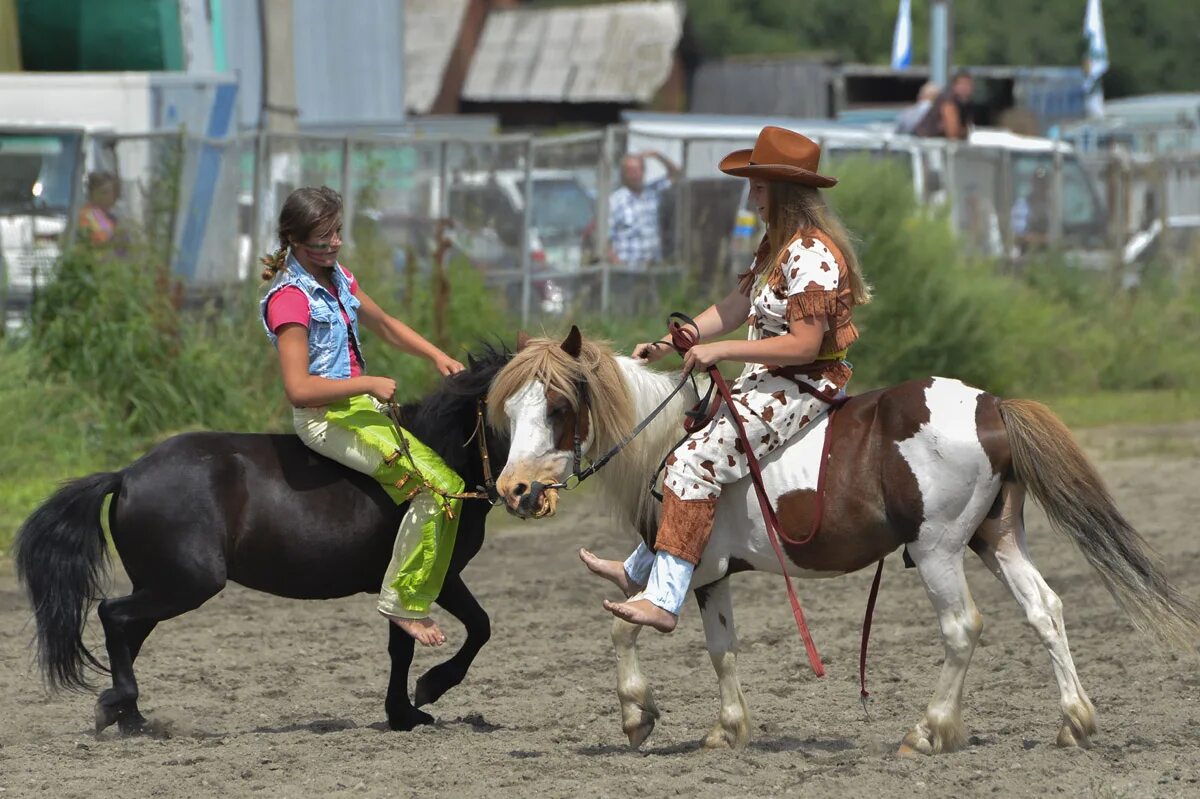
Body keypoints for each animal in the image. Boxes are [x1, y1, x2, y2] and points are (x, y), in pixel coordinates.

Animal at [16, 345, 511, 729]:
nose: (522, 490)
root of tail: (127, 474)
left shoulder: (413, 581)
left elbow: (415, 642)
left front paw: (404, 712)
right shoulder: (434, 576)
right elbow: (474, 628)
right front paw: (425, 693)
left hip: (160, 583)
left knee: (127, 630)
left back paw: (128, 717)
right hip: (186, 584)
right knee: (113, 615)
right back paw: (123, 709)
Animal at [487, 328, 1200, 753]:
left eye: (558, 407)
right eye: (512, 410)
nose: (514, 490)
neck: (664, 447)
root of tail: (992, 406)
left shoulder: (693, 567)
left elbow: (649, 628)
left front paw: (648, 716)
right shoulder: (707, 575)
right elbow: (694, 641)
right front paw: (715, 726)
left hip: (938, 551)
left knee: (963, 628)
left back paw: (930, 730)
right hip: (996, 539)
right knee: (1044, 609)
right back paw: (1074, 719)